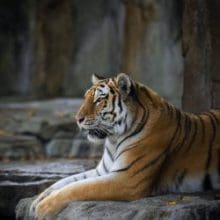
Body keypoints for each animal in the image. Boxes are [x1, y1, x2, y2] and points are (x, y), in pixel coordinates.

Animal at [29, 73, 220, 218]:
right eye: (85, 98)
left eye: (99, 100)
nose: (77, 119)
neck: (113, 140)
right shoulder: (103, 171)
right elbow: (67, 181)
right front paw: (37, 200)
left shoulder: (127, 179)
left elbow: (78, 188)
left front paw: (43, 208)